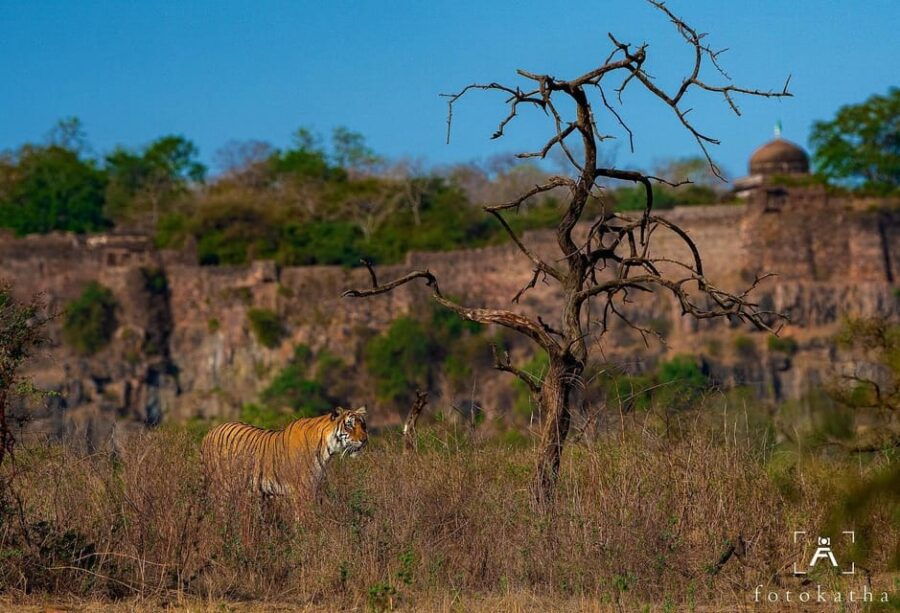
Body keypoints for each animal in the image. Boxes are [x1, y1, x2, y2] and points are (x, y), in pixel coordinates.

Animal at [200, 406, 368, 498]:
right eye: (349, 425)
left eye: (363, 425)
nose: (365, 440)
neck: (327, 450)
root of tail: (209, 432)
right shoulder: (303, 490)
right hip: (221, 486)